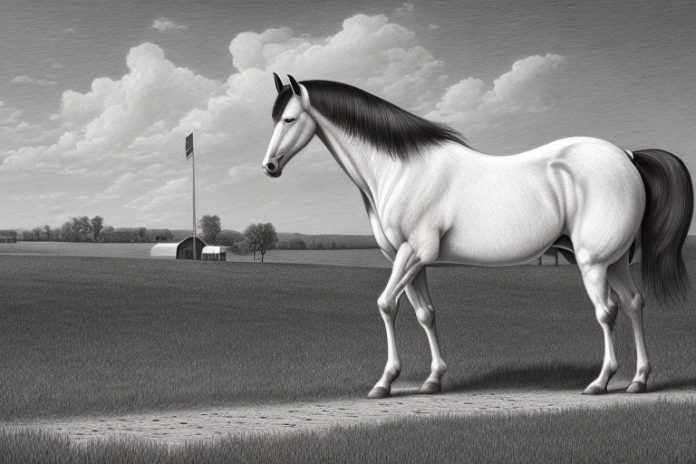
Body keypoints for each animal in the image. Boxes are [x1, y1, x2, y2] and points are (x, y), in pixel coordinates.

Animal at [262, 73, 693, 398]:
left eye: (289, 119)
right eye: (275, 118)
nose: (269, 167)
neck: (400, 169)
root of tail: (627, 155)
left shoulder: (414, 251)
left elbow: (386, 304)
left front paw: (384, 382)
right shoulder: (411, 260)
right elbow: (425, 313)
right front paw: (433, 379)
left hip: (593, 262)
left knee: (608, 311)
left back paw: (600, 382)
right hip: (615, 260)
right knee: (634, 304)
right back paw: (639, 381)